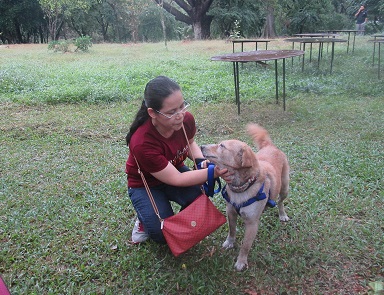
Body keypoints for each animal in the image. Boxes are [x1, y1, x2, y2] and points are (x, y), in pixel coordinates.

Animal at [201, 123, 288, 272]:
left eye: (222, 145)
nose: (201, 146)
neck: (241, 188)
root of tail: (270, 146)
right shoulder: (230, 212)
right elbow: (232, 230)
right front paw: (229, 242)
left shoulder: (252, 224)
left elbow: (245, 245)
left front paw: (241, 261)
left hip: (284, 188)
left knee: (280, 201)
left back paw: (282, 214)